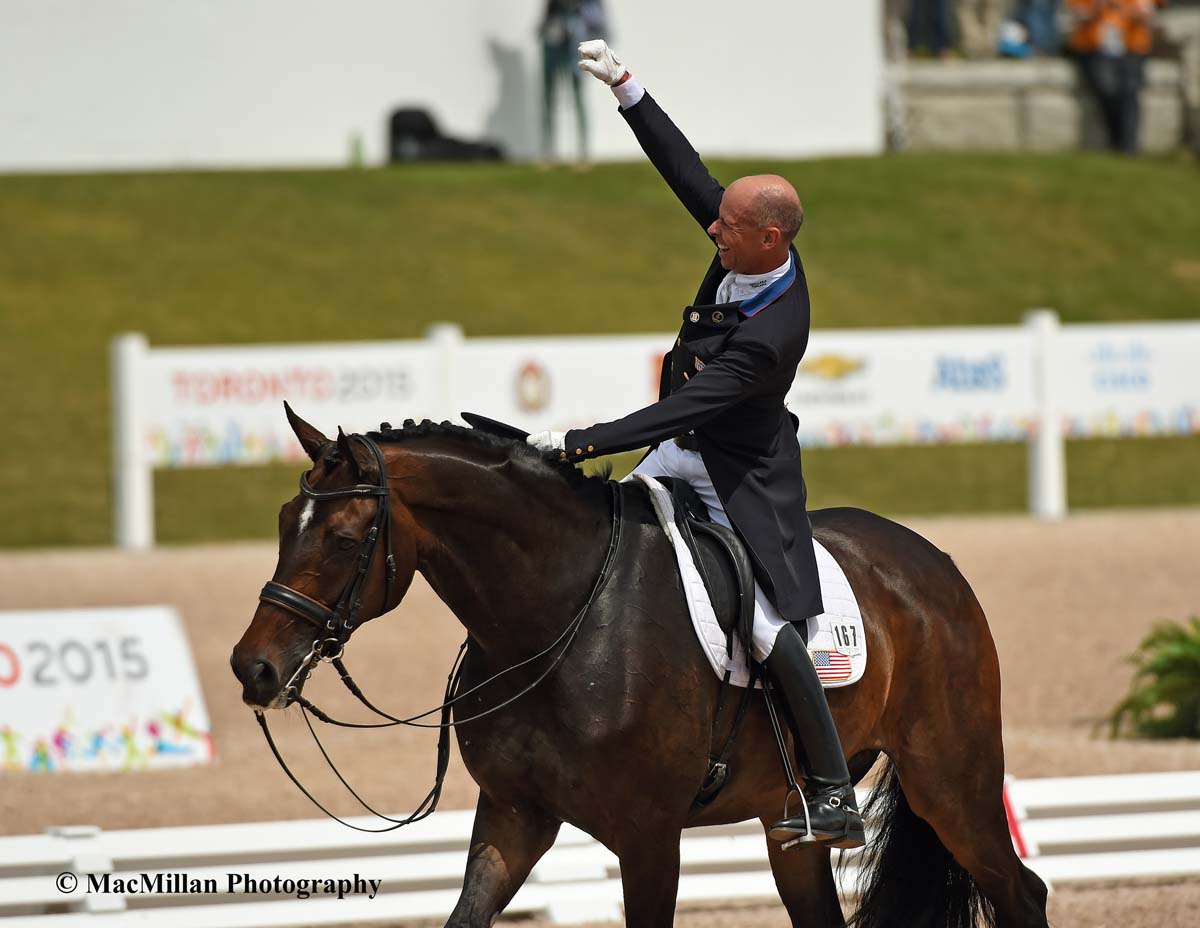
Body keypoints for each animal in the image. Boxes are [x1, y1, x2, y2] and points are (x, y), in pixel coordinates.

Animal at [231, 408, 1051, 926]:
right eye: (283, 523)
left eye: (342, 539)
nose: (253, 669)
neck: (552, 618)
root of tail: (930, 560)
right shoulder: (513, 815)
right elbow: (465, 916)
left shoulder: (650, 835)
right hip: (789, 821)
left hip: (952, 784)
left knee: (1023, 892)